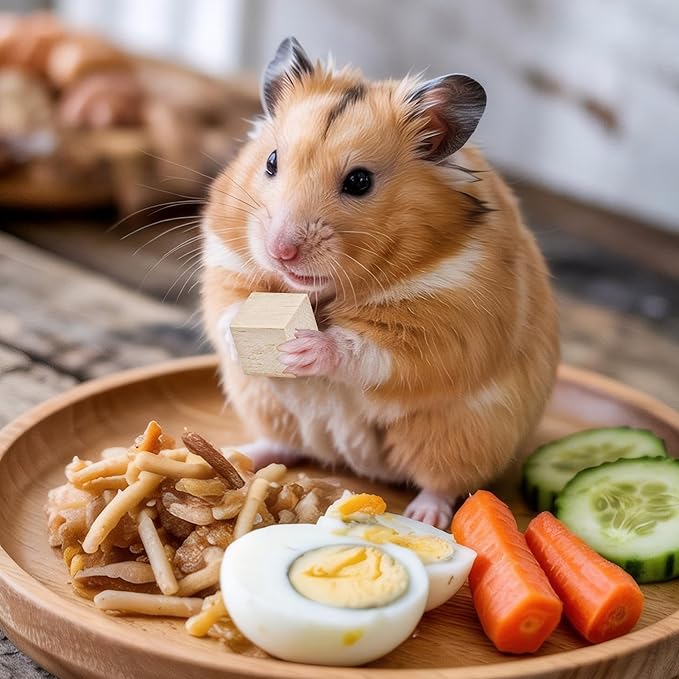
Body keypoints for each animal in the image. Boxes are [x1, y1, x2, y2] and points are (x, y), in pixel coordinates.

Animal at [201, 37, 559, 528]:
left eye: (359, 181)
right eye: (271, 162)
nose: (280, 252)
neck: (321, 292)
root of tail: (357, 464)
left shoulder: (445, 322)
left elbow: (367, 349)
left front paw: (302, 350)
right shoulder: (226, 262)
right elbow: (227, 312)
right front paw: (249, 346)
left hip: (457, 432)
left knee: (441, 480)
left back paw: (427, 515)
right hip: (264, 403)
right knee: (285, 443)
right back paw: (241, 453)